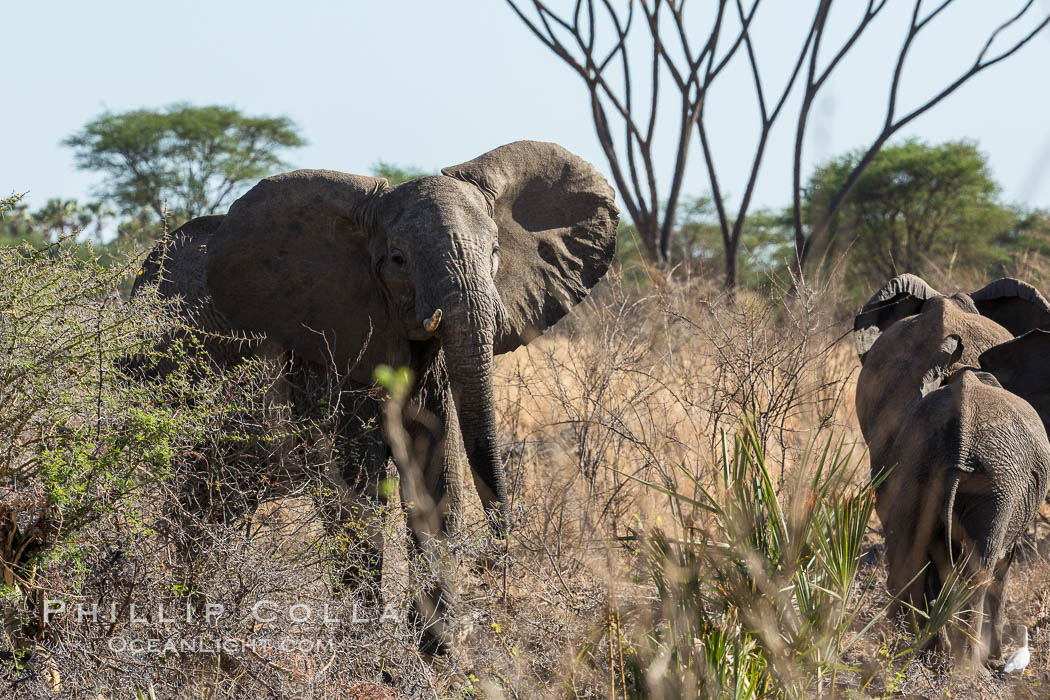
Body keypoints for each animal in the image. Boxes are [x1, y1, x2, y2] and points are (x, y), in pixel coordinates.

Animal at [132, 139, 621, 654]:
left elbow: (438, 481)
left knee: (217, 507)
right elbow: (356, 491)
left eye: (494, 252)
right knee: (194, 501)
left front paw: (437, 654)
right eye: (398, 259)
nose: (498, 549)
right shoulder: (335, 347)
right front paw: (364, 653)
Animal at [877, 335, 1050, 671]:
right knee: (978, 571)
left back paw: (920, 651)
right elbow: (1002, 569)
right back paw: (967, 667)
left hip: (918, 465)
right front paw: (995, 659)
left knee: (911, 556)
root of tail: (961, 440)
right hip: (998, 487)